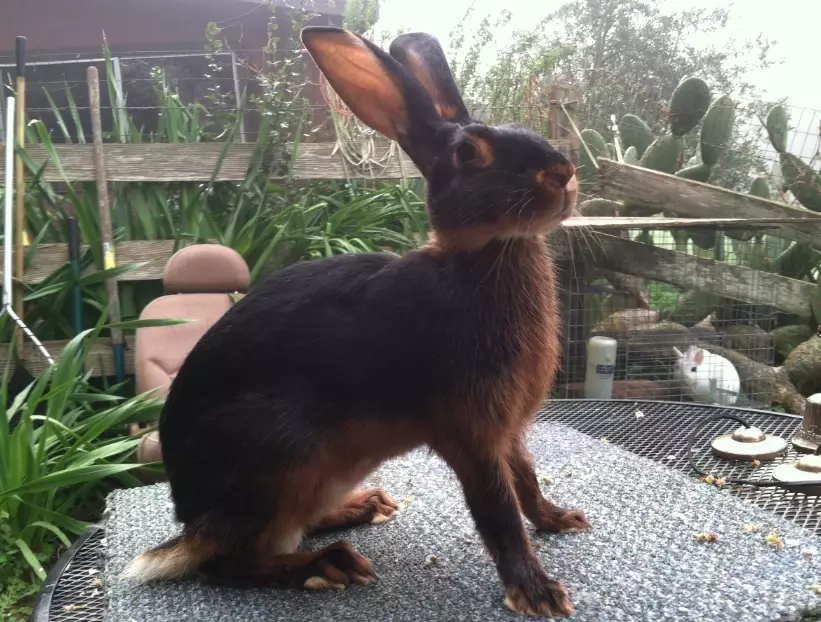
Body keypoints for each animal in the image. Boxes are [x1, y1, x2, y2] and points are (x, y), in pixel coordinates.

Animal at [123, 26, 585, 618]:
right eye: (468, 154)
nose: (562, 174)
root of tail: (191, 524)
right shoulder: (470, 431)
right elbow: (498, 510)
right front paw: (537, 592)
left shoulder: (507, 431)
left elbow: (526, 481)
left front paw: (561, 519)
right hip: (278, 458)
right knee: (231, 565)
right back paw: (328, 565)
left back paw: (362, 509)